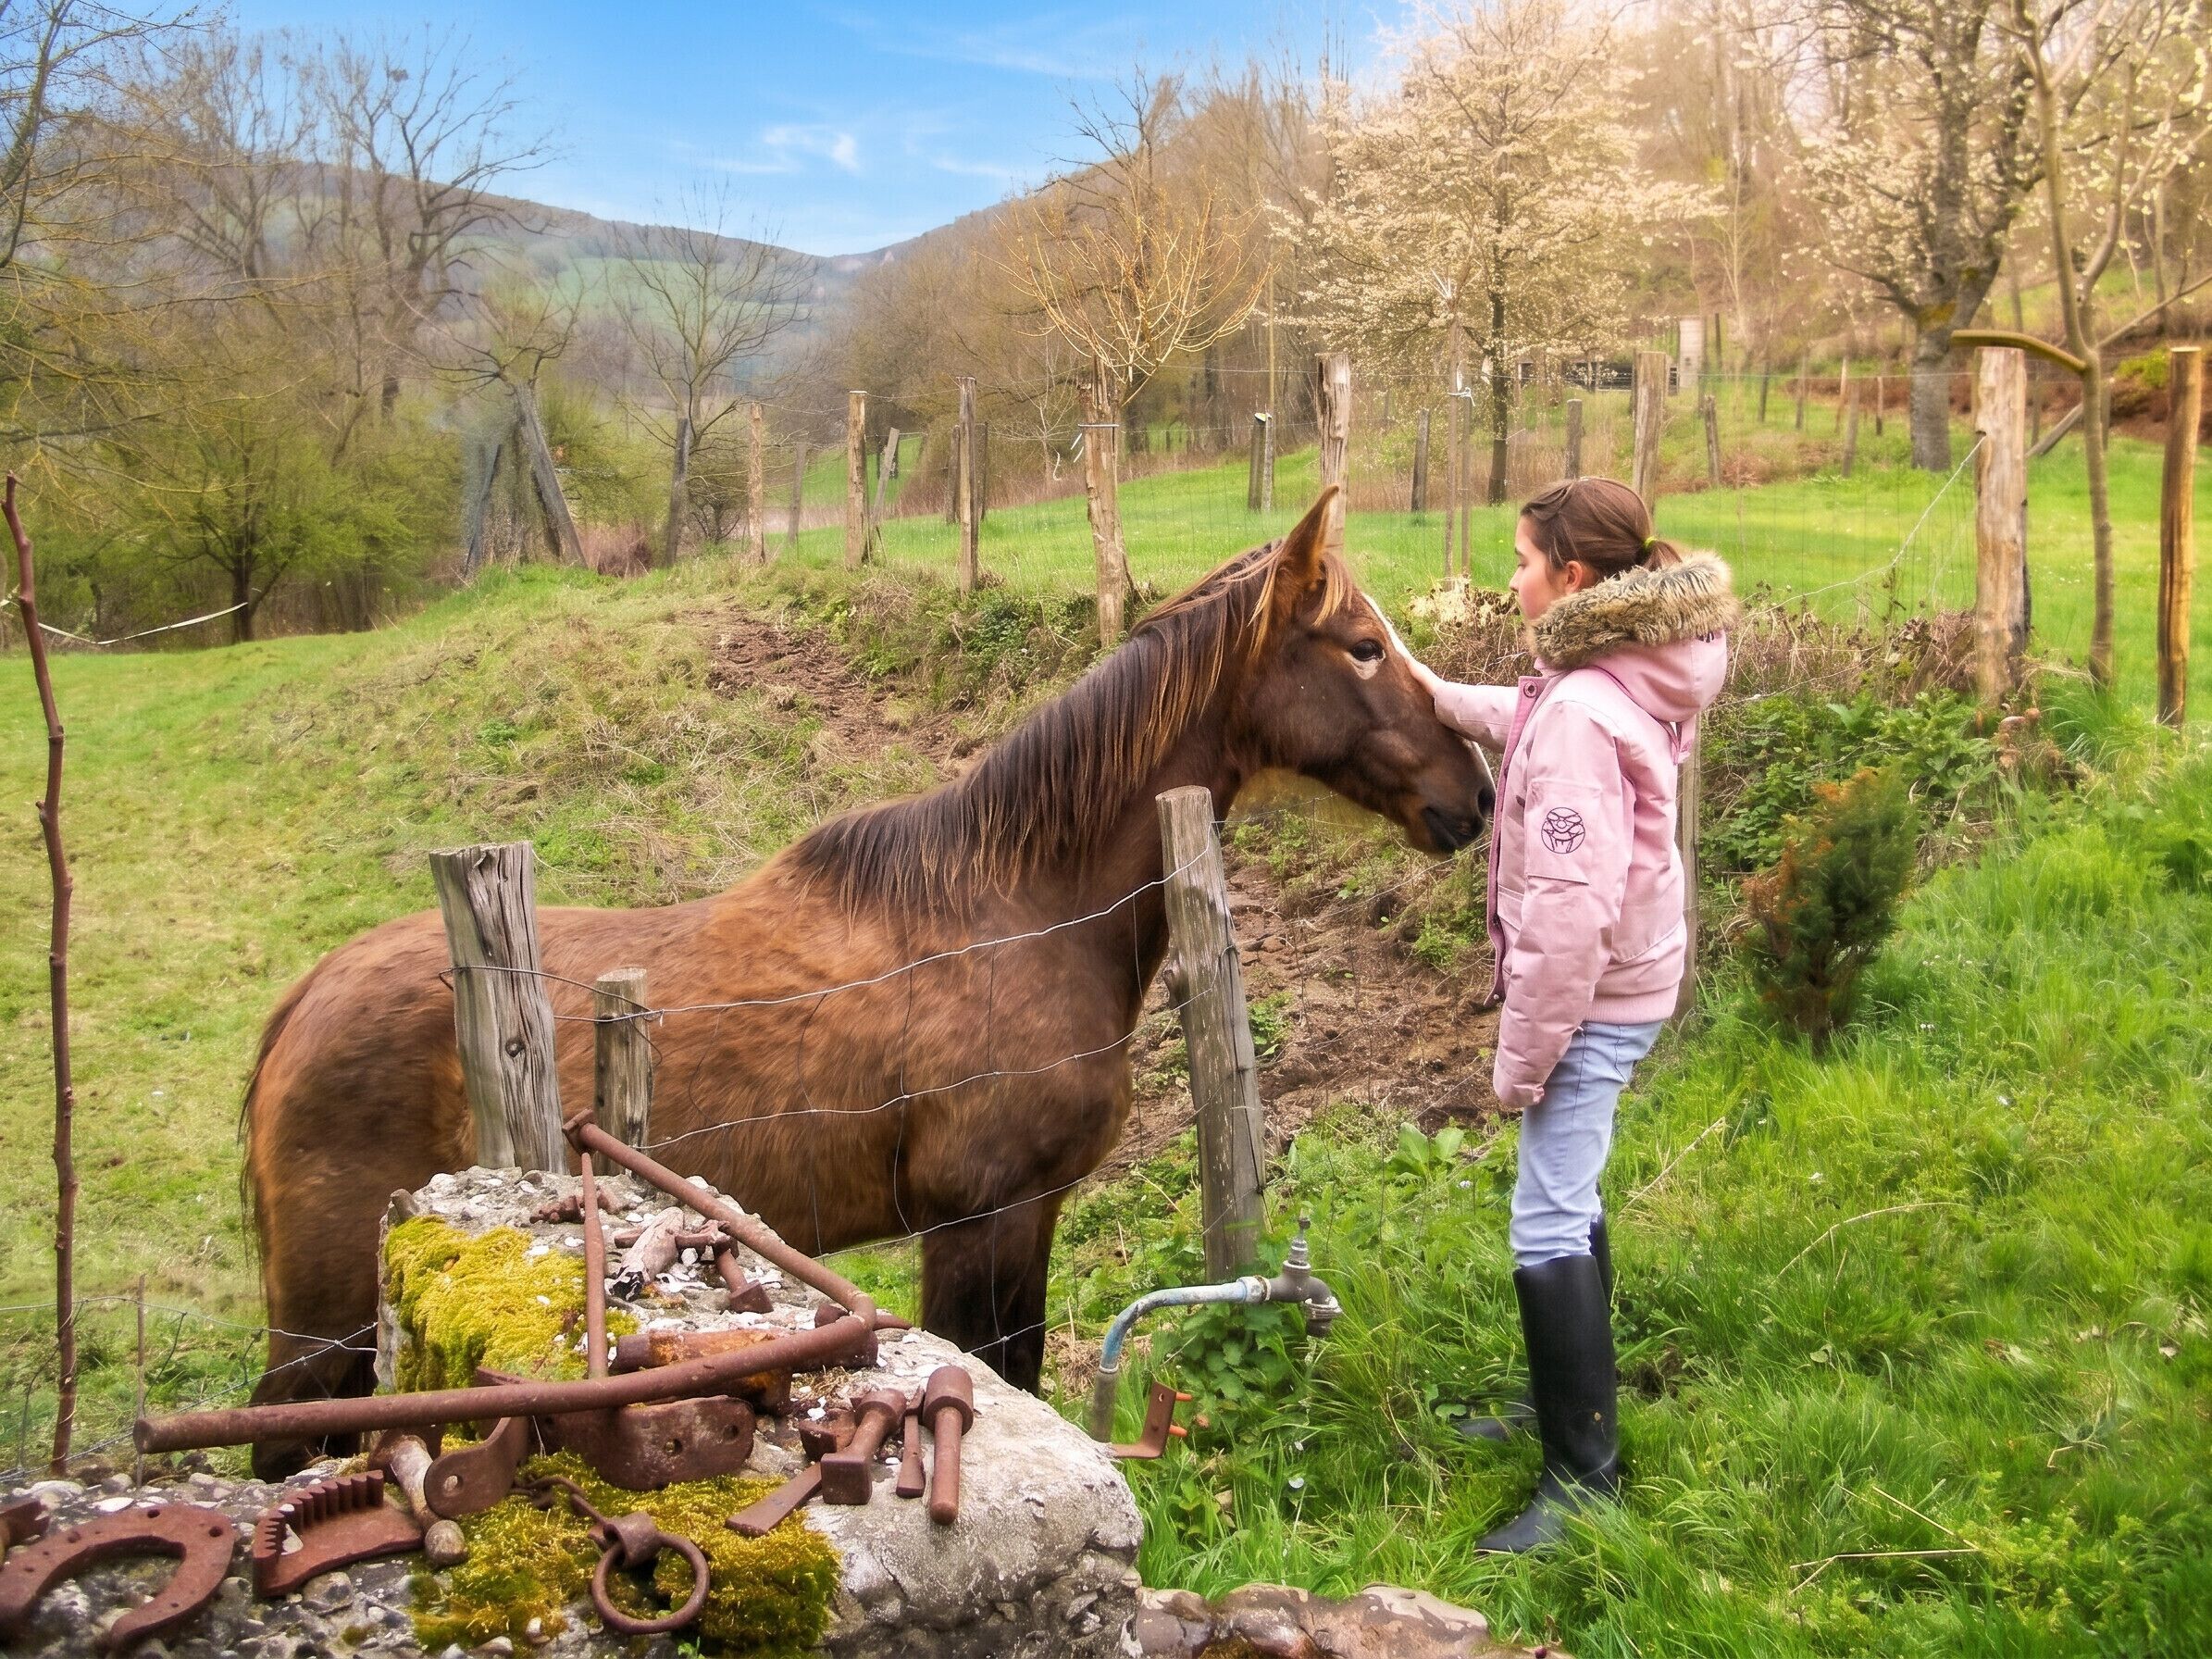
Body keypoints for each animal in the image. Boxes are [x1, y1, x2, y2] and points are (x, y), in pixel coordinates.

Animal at [240, 489, 1493, 1477]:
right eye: (1361, 645)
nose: (1473, 796)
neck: (1016, 912)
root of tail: (305, 1000)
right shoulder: (973, 1221)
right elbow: (990, 1373)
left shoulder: (1030, 1216)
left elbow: (1022, 1371)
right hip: (325, 1322)